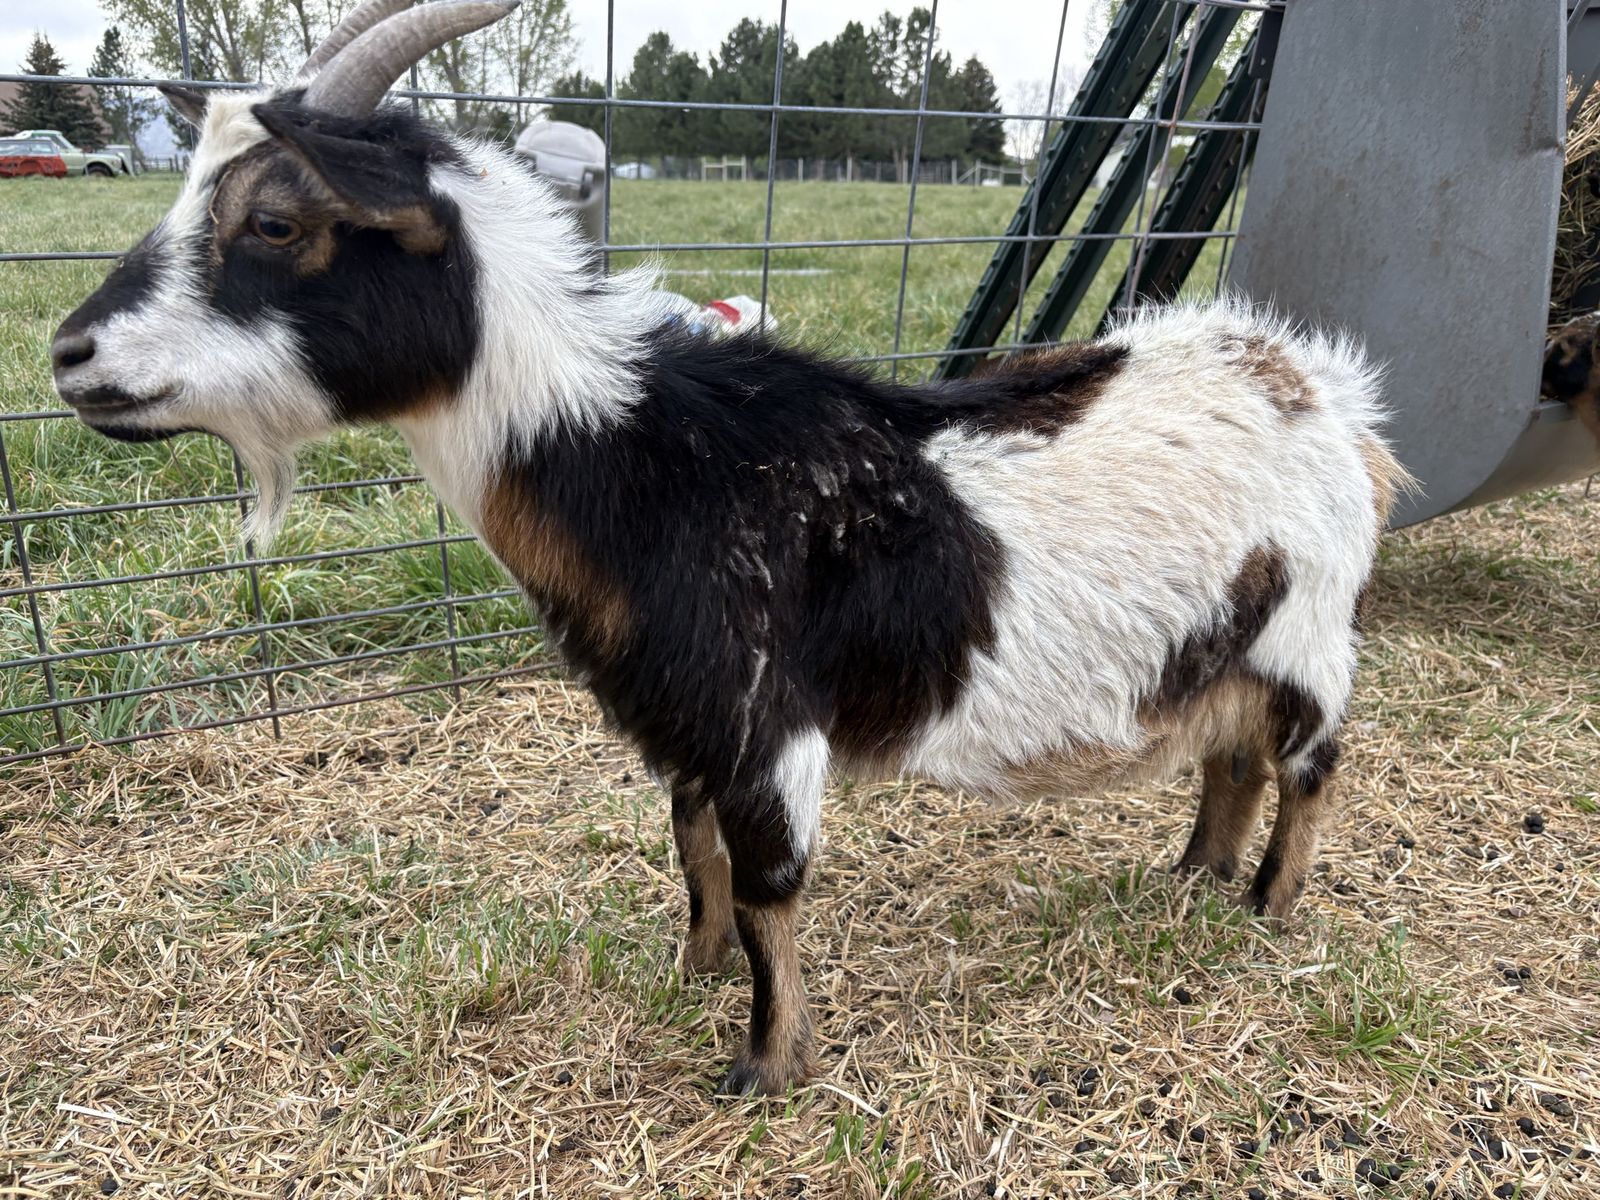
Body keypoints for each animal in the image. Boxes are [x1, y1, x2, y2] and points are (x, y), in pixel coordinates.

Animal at [49, 0, 1409, 1096]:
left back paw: (1270, 907)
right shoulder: (679, 713)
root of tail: (1323, 389)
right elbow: (691, 852)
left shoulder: (762, 719)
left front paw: (767, 1063)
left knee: (1307, 766)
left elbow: (767, 890)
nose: (68, 356)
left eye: (276, 219)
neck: (646, 459)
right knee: (1229, 756)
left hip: (1309, 630)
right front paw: (689, 968)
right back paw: (1193, 877)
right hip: (1223, 639)